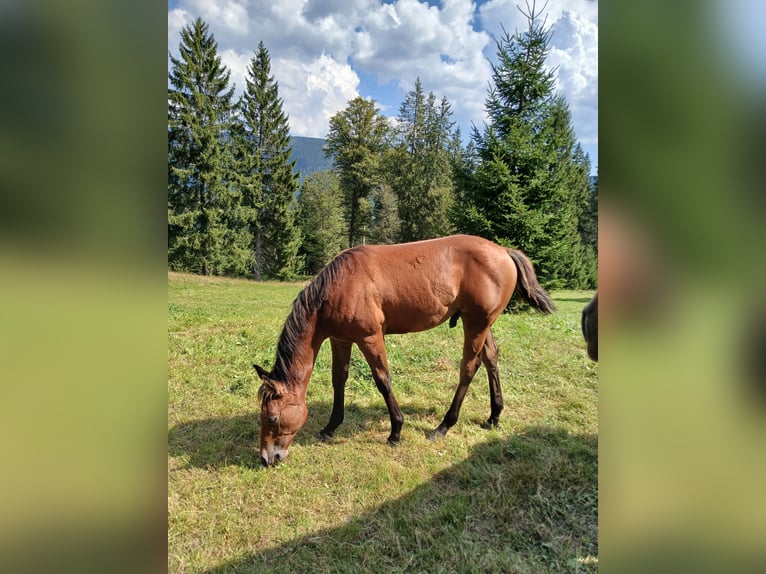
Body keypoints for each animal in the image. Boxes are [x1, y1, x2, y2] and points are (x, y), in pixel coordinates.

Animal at [254, 234, 555, 466]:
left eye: (272, 417)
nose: (267, 458)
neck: (339, 286)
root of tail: (503, 251)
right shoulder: (341, 340)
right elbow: (339, 380)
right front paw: (330, 427)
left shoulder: (370, 338)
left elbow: (383, 381)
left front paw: (396, 430)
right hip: (483, 323)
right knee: (491, 359)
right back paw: (494, 416)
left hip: (475, 324)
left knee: (469, 368)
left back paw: (444, 426)